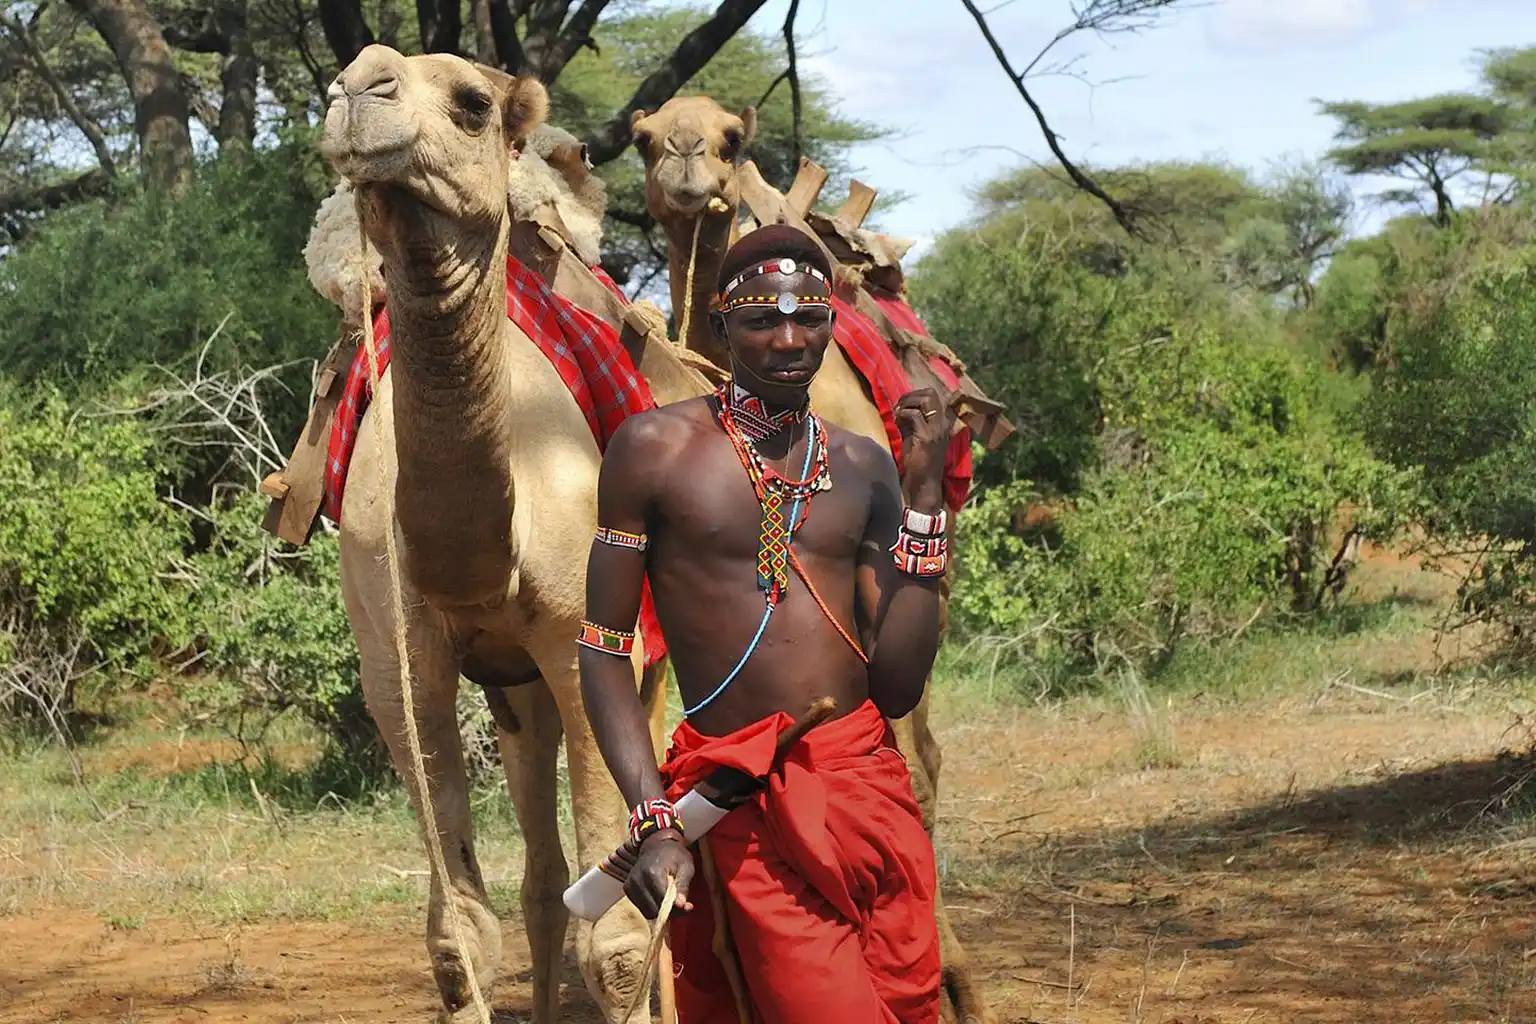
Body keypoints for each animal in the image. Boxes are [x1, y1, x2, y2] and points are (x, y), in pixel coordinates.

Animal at [314, 44, 693, 1023]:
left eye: (472, 103)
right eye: (341, 78)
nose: (357, 86)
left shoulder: (581, 641)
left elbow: (621, 945)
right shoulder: (400, 667)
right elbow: (460, 936)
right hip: (516, 690)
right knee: (541, 871)